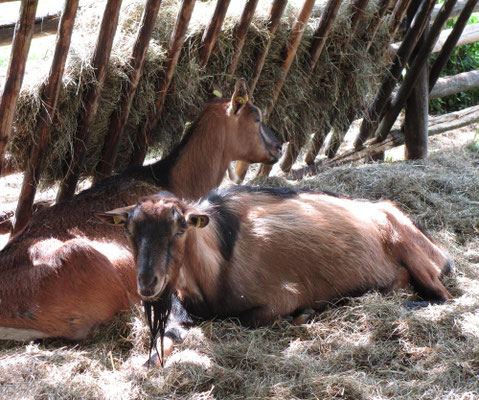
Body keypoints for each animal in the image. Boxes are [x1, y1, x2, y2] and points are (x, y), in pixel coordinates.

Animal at [97, 186, 454, 364]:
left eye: (179, 228)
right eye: (130, 230)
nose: (147, 282)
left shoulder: (281, 296)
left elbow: (246, 319)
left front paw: (305, 314)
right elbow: (170, 335)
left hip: (409, 249)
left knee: (443, 296)